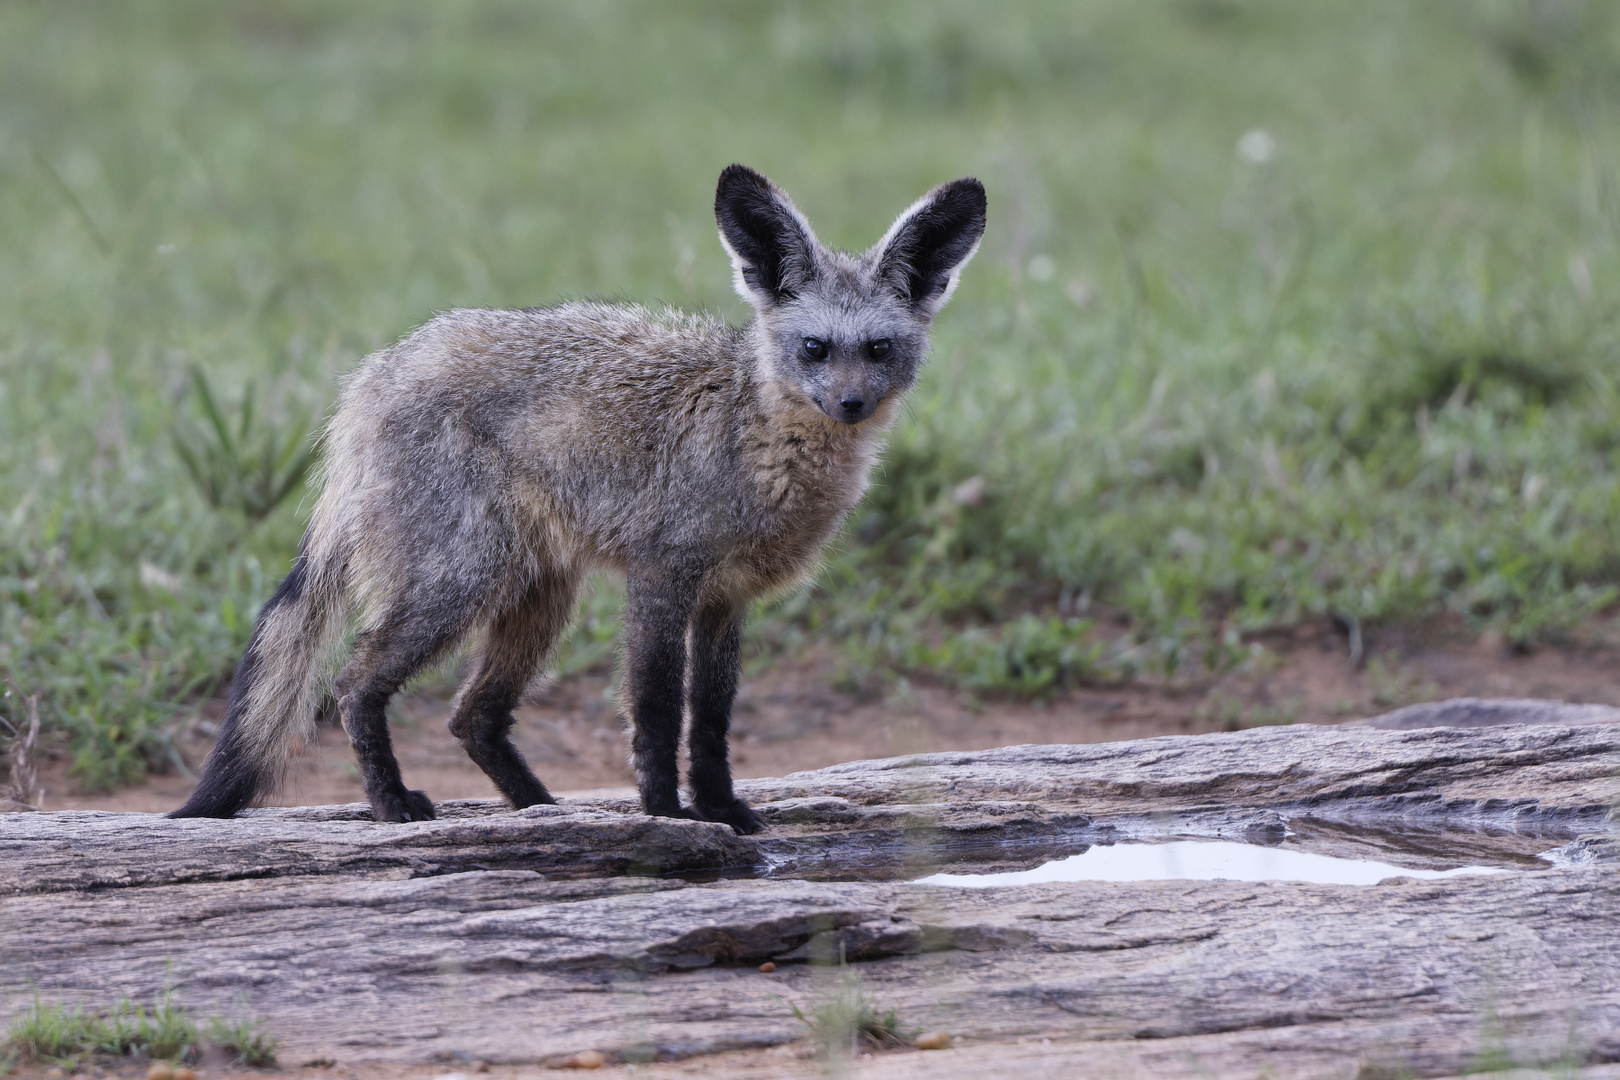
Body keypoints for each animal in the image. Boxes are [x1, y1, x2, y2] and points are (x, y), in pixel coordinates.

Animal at [174, 165, 984, 835]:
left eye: (878, 350)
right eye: (815, 349)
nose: (850, 404)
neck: (754, 438)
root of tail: (376, 373)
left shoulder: (726, 600)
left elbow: (711, 721)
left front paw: (722, 810)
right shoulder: (662, 578)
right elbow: (656, 711)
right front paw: (667, 815)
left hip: (538, 601)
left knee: (471, 718)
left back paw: (541, 811)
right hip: (459, 586)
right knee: (353, 684)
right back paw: (393, 803)